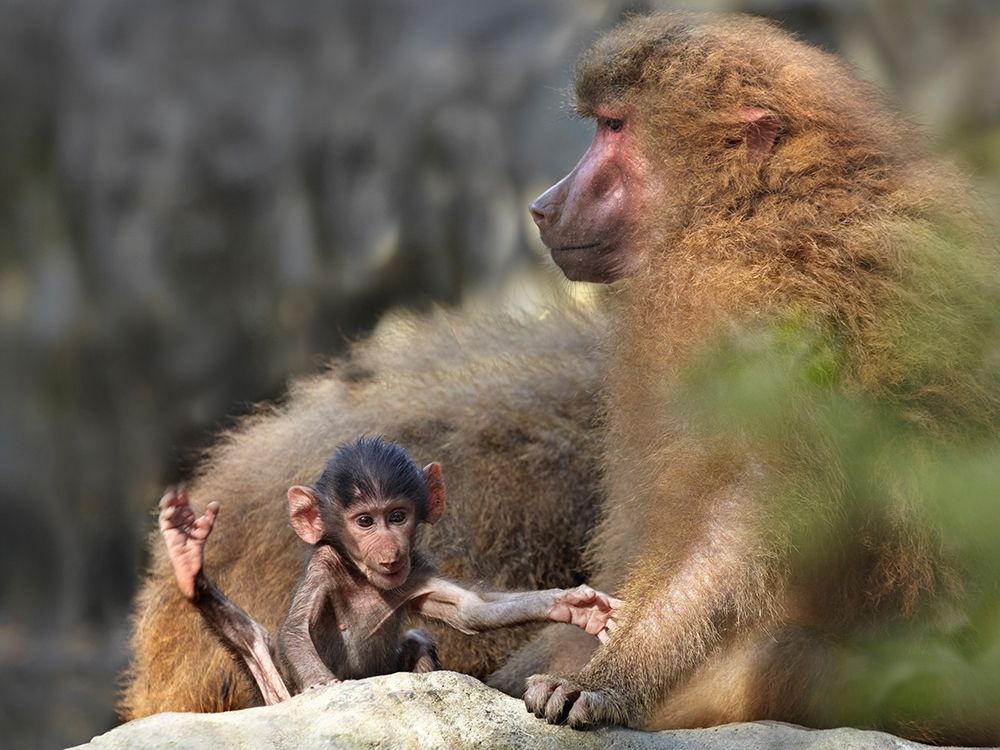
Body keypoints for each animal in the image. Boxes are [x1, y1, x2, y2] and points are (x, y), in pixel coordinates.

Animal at [158, 437, 621, 704]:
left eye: (397, 516)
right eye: (365, 521)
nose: (387, 546)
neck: (363, 577)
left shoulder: (415, 573)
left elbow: (471, 610)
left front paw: (574, 606)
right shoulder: (325, 566)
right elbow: (294, 629)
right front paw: (323, 684)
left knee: (418, 640)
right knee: (253, 643)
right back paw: (189, 566)